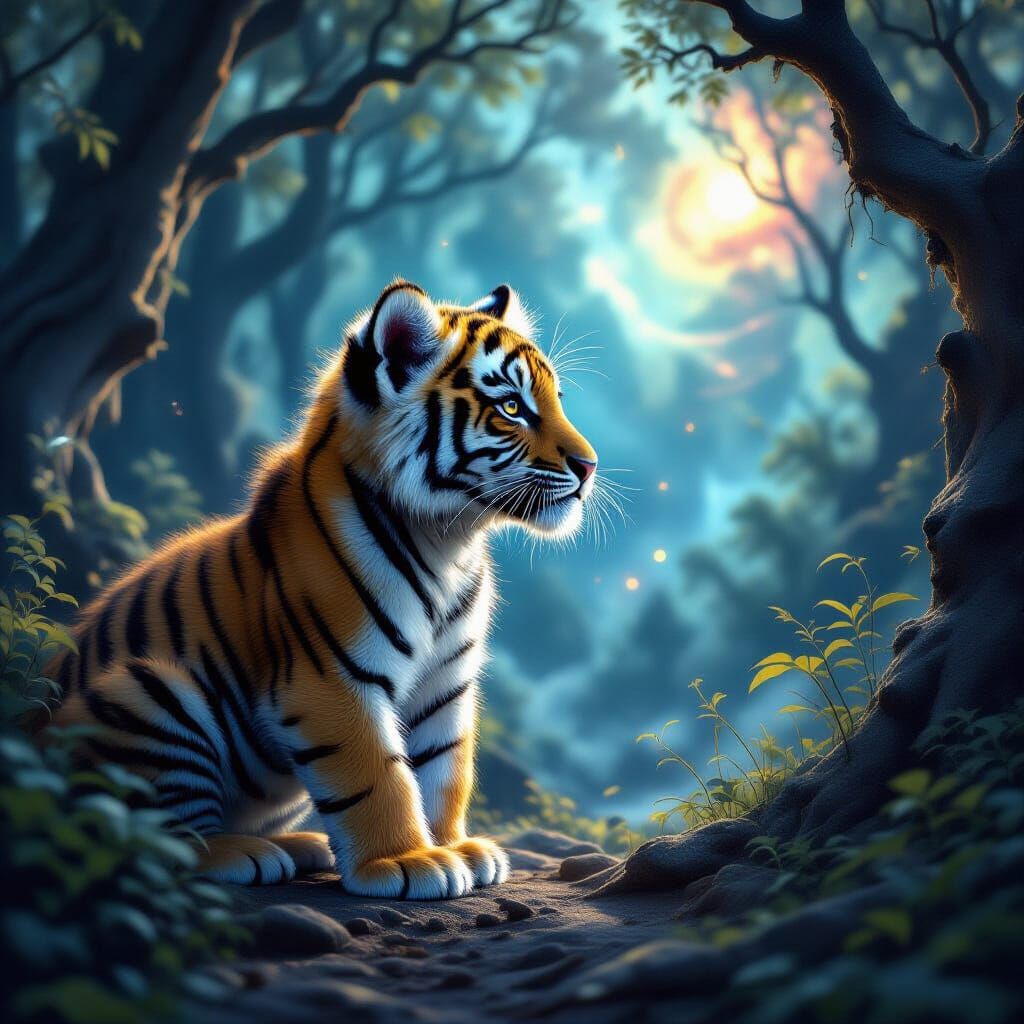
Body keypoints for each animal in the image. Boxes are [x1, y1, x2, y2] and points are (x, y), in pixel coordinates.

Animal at [45, 279, 599, 899]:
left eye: (555, 400)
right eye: (511, 407)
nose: (590, 466)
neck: (449, 538)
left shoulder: (447, 683)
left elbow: (444, 768)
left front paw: (455, 847)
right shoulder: (332, 677)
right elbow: (377, 773)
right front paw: (408, 861)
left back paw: (299, 846)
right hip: (148, 689)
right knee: (142, 838)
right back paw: (243, 852)